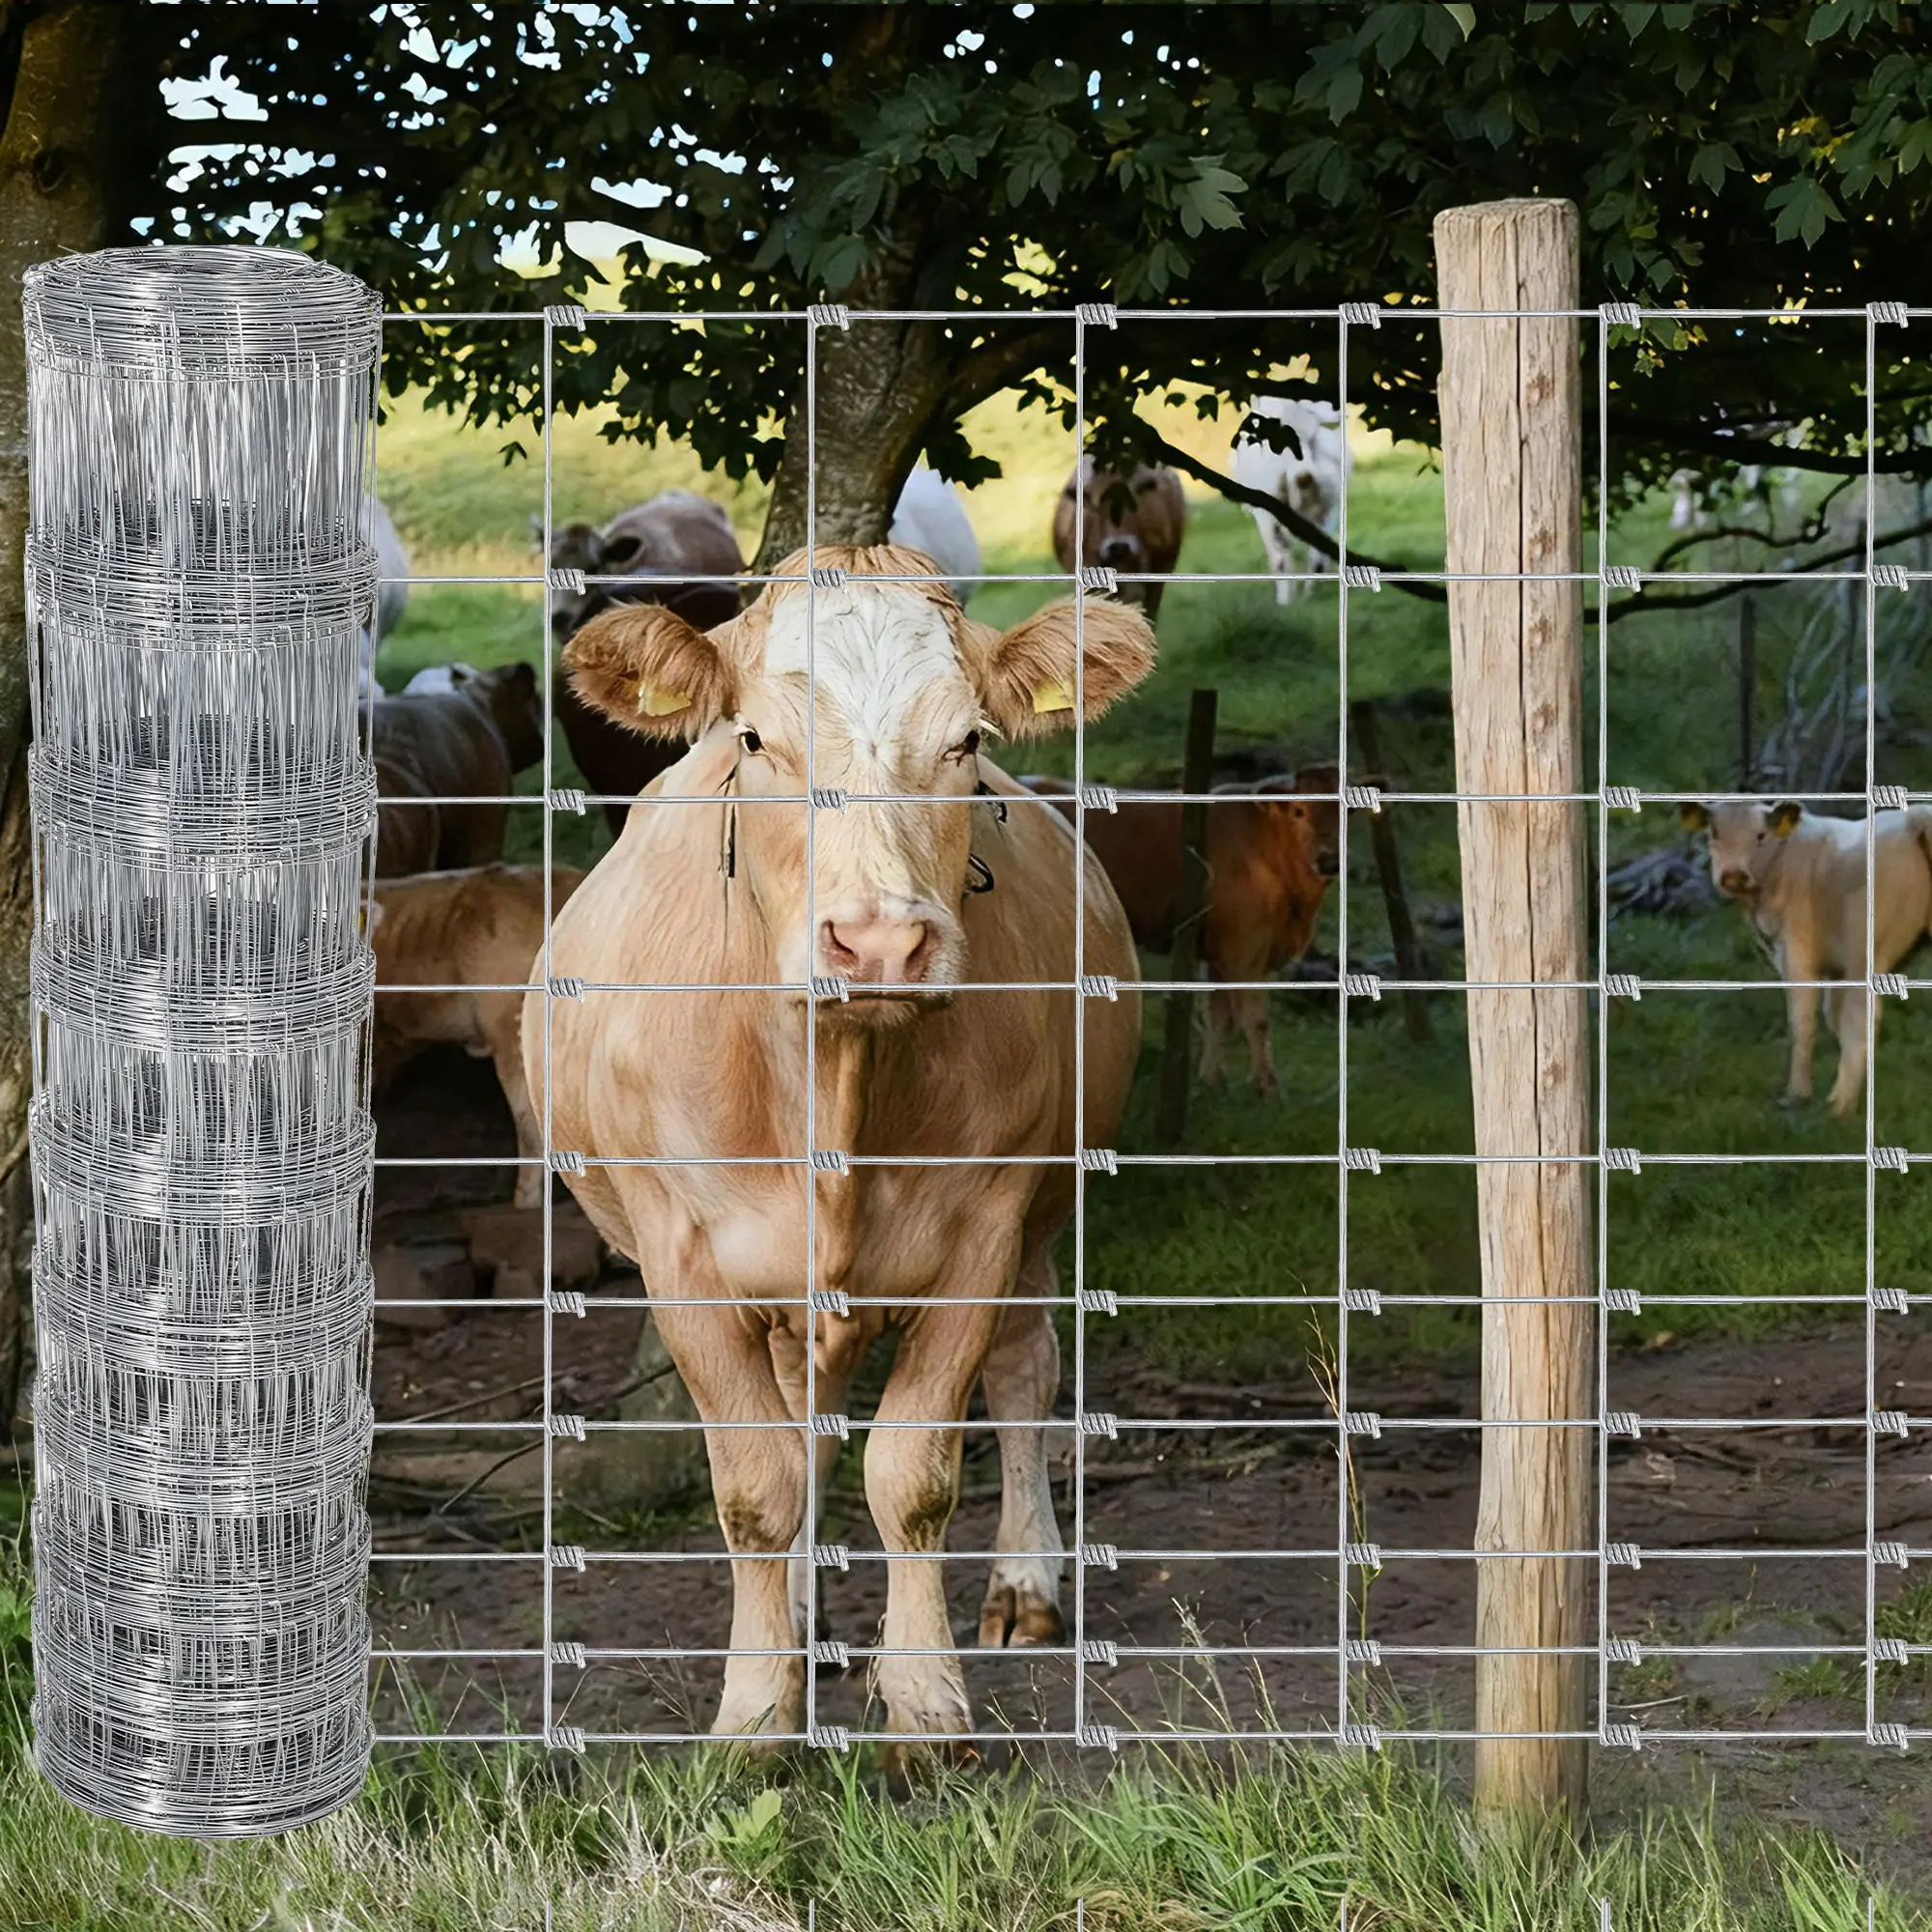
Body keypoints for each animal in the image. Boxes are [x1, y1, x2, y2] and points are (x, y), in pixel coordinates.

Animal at [527, 544, 1154, 1768]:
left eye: (965, 741)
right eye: (753, 738)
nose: (877, 941)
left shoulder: (983, 1228)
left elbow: (911, 1473)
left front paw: (923, 1702)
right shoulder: (682, 1257)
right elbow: (756, 1485)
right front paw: (754, 1709)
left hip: (1040, 1215)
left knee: (1022, 1372)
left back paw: (1022, 1582)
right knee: (802, 1422)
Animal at [1023, 767, 1342, 1098]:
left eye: (1345, 811)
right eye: (1299, 811)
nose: (1329, 860)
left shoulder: (1218, 953)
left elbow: (1218, 1017)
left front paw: (1213, 1081)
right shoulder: (1245, 948)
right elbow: (1256, 1020)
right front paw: (1268, 1089)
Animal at [1231, 398, 1346, 605]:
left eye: (1311, 439)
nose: (1305, 477)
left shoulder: (1327, 508)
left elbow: (1310, 555)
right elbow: (1284, 557)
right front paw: (1289, 600)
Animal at [1680, 798, 1932, 1115]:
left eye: (1760, 836)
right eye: (1713, 833)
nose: (1733, 875)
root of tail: (1914, 819)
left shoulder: (1797, 950)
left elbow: (1802, 1020)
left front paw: (1797, 1094)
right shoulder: (1835, 967)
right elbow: (1831, 1016)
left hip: (1866, 954)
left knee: (1861, 1019)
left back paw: (1840, 1106)